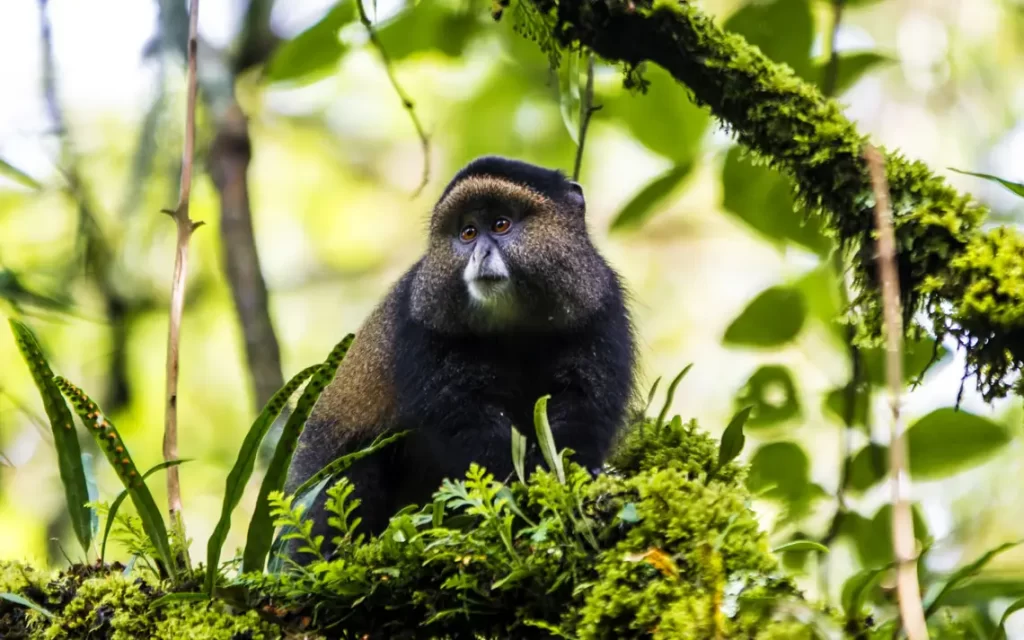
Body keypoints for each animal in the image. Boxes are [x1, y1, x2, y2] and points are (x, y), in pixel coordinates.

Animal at [283, 155, 638, 564]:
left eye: (500, 225)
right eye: (467, 233)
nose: (479, 254)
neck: (514, 326)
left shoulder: (600, 309)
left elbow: (582, 405)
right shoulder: (422, 327)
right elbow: (464, 420)